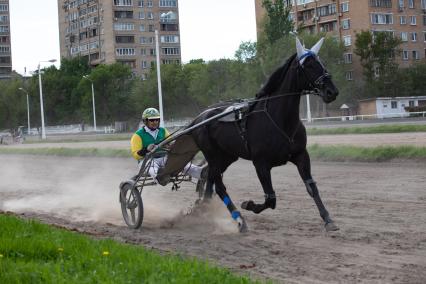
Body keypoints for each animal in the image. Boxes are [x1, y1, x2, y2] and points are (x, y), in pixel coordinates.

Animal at [190, 37, 340, 232]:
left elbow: (311, 187)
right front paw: (249, 204)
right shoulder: (260, 163)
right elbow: (271, 199)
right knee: (218, 184)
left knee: (209, 177)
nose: (332, 91)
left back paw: (206, 208)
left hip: (227, 156)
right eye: (309, 65)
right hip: (213, 155)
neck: (280, 120)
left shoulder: (301, 155)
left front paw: (328, 219)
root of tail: (198, 118)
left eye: (322, 63)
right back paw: (239, 219)